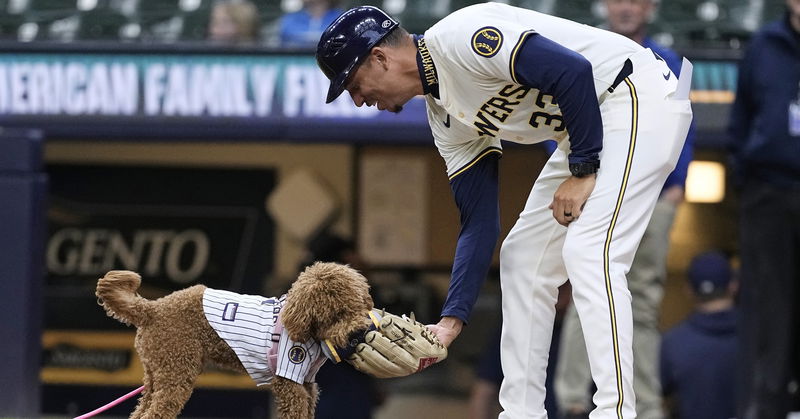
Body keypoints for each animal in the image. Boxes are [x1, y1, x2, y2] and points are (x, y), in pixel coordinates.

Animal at [95, 262, 376, 419]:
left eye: (355, 306)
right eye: (335, 315)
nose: (357, 331)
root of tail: (151, 309)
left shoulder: (306, 384)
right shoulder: (290, 381)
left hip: (156, 374)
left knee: (142, 410)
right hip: (176, 372)